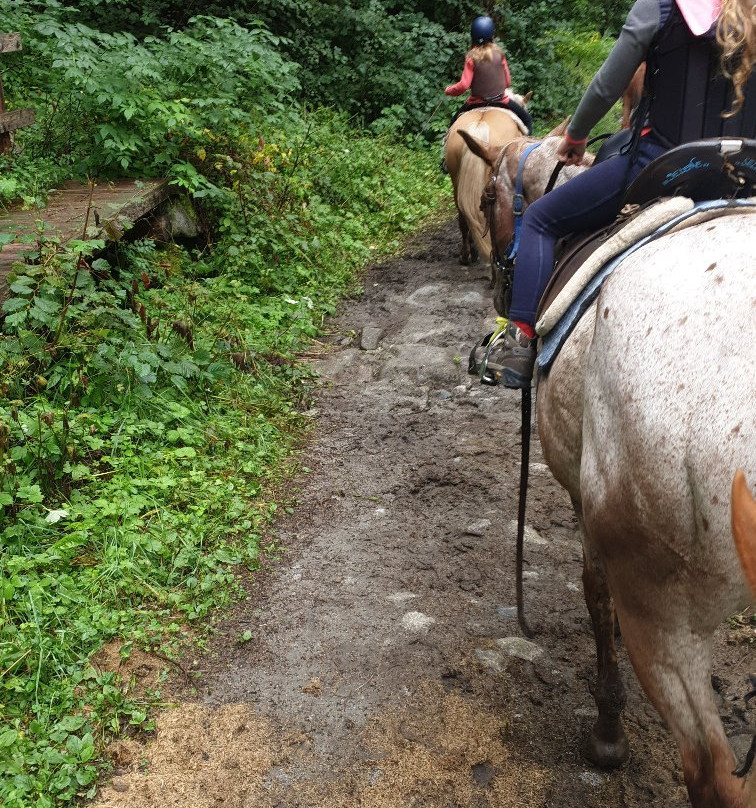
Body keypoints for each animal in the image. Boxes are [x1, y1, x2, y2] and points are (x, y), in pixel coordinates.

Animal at [464, 129, 752, 804]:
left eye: (488, 198)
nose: (495, 283)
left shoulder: (585, 500)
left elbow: (596, 593)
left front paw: (607, 731)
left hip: (663, 609)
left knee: (711, 768)